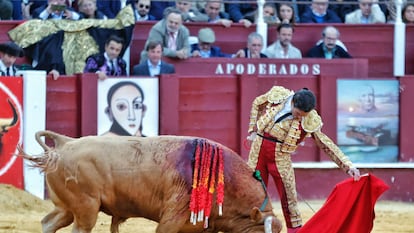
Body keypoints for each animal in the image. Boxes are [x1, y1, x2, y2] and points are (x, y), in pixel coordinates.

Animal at [21, 130, 284, 233]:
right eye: (261, 231)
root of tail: (64, 144)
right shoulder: (172, 218)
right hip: (87, 207)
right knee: (79, 228)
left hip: (66, 207)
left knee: (48, 222)